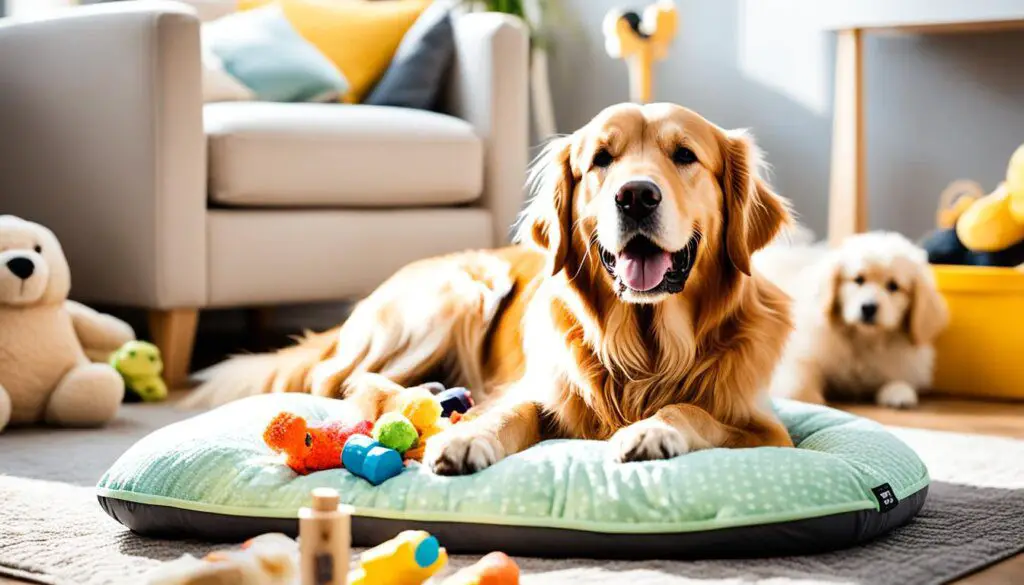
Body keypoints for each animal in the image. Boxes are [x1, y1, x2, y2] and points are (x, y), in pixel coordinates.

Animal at [757, 231, 946, 409]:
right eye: (858, 280)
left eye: (893, 286)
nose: (868, 307)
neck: (862, 339)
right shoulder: (800, 356)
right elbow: (798, 387)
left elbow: (899, 379)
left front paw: (899, 393)